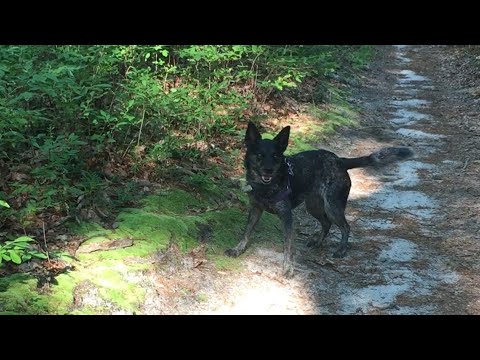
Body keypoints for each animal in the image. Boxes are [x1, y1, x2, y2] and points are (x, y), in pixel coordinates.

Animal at [225, 121, 412, 278]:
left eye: (276, 156)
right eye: (259, 155)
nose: (269, 170)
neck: (266, 188)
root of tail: (340, 161)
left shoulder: (287, 217)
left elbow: (287, 246)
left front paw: (288, 268)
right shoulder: (255, 209)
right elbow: (246, 232)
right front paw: (237, 249)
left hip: (332, 205)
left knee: (345, 226)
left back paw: (341, 250)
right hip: (313, 206)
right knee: (326, 223)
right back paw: (318, 241)